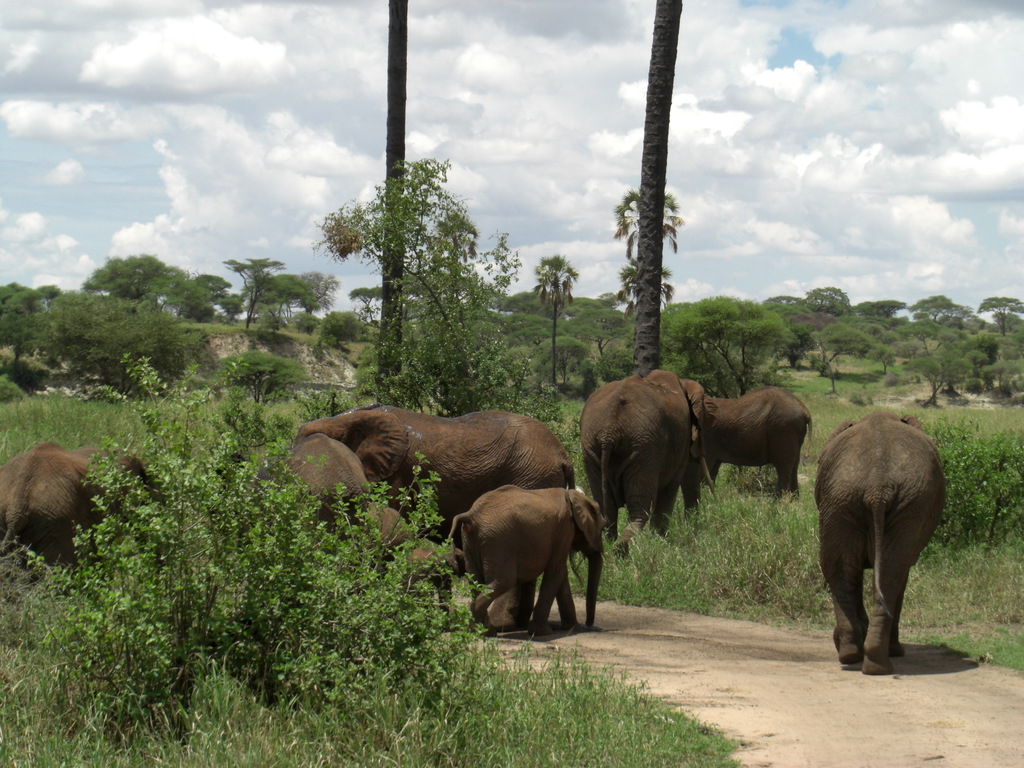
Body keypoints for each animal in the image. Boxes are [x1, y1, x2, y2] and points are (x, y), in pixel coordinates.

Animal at [449, 485, 604, 636]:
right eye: (602, 528)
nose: (588, 625)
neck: (573, 496)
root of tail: (471, 514)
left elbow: (560, 573)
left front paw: (574, 629)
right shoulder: (565, 529)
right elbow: (555, 571)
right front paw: (542, 632)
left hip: (470, 540)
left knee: (476, 582)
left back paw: (483, 630)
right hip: (497, 540)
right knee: (504, 581)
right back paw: (482, 628)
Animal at [580, 370, 714, 554]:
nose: (694, 530)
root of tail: (609, 431)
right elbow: (674, 484)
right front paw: (662, 541)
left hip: (592, 447)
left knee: (606, 507)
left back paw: (609, 548)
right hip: (645, 448)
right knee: (640, 508)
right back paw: (622, 548)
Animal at [681, 386, 812, 507]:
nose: (716, 498)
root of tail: (804, 409)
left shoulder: (707, 437)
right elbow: (711, 470)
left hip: (783, 429)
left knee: (784, 467)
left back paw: (776, 504)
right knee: (794, 465)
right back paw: (794, 502)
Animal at [814, 411, 945, 675]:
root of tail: (878, 486)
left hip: (844, 499)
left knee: (848, 569)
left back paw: (856, 655)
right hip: (870, 500)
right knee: (890, 571)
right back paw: (874, 659)